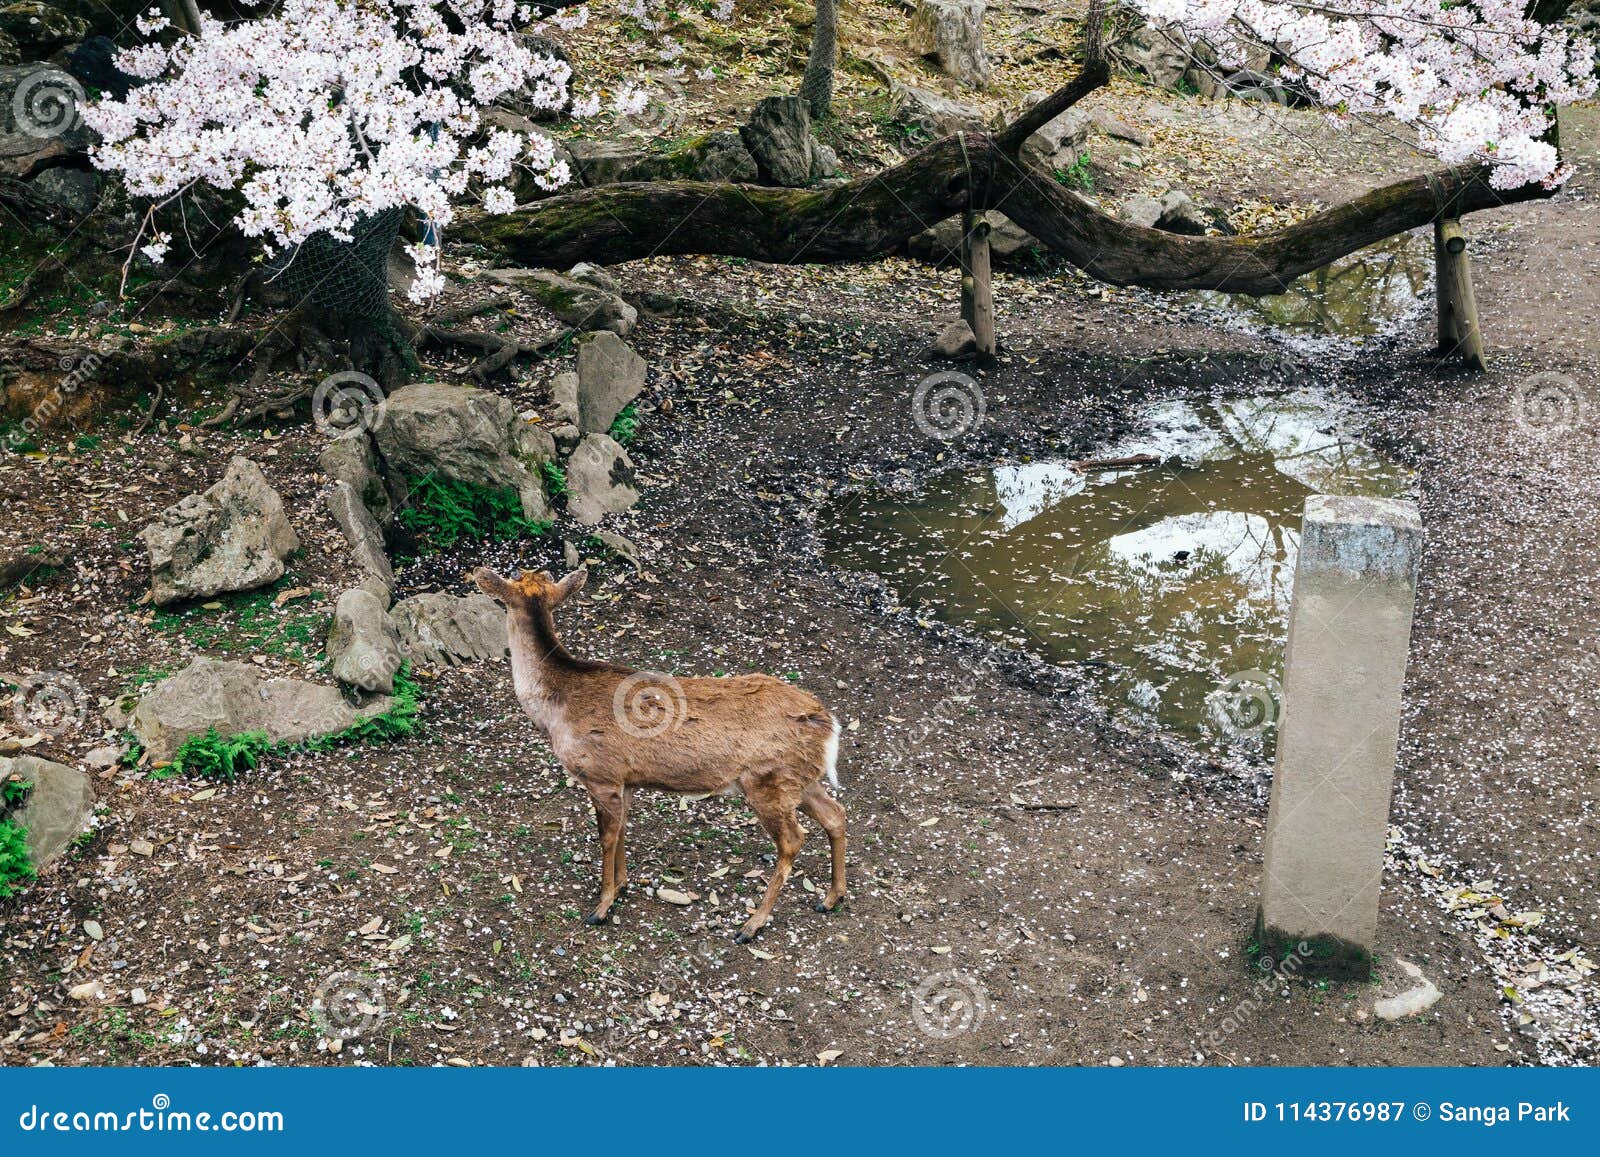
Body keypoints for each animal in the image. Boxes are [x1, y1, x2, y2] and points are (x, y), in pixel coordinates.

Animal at [472, 566, 847, 942]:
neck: (554, 712)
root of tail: (829, 723)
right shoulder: (626, 780)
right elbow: (623, 828)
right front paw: (622, 886)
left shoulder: (601, 773)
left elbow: (606, 836)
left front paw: (602, 906)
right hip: (798, 778)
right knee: (836, 814)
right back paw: (831, 898)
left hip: (767, 778)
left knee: (793, 839)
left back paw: (752, 924)